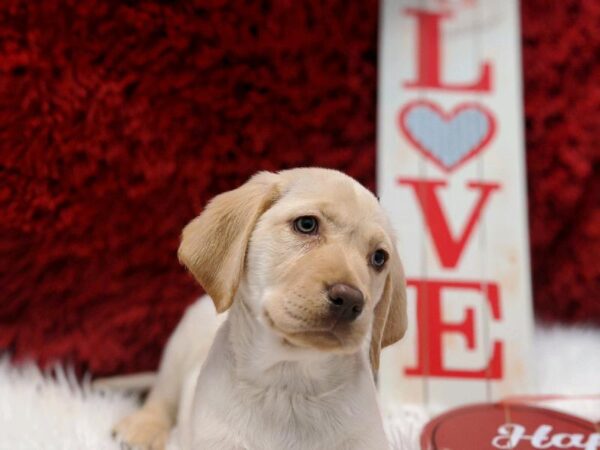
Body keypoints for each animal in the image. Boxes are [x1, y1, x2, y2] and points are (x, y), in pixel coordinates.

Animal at [113, 168, 408, 450]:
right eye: (306, 224)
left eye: (379, 258)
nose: (349, 300)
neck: (289, 383)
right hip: (177, 352)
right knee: (160, 399)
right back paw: (140, 429)